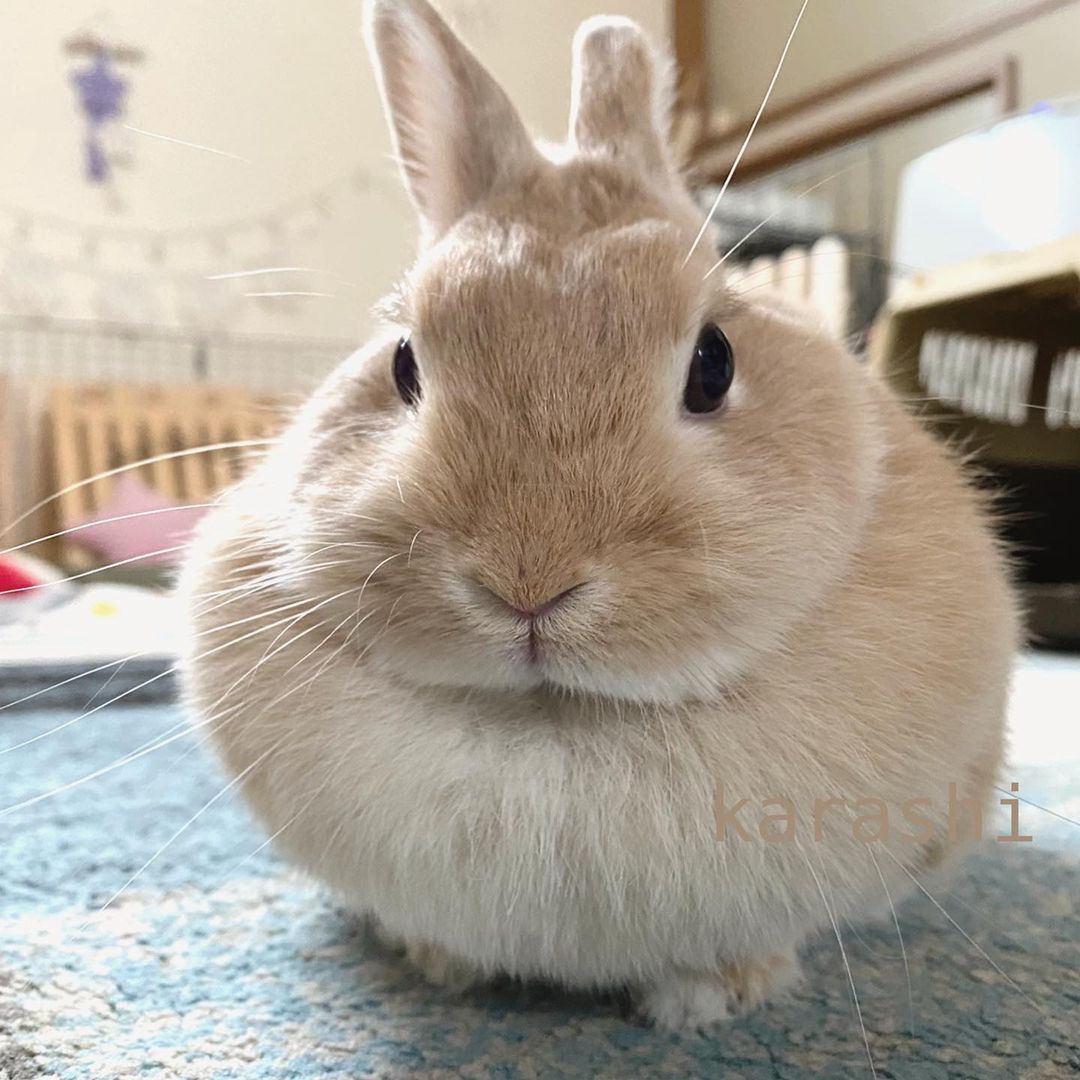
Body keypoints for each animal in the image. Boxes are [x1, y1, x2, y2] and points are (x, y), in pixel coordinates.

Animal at [179, 0, 1019, 1032]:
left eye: (714, 362)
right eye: (403, 363)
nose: (527, 584)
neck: (561, 719)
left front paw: (714, 998)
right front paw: (439, 962)